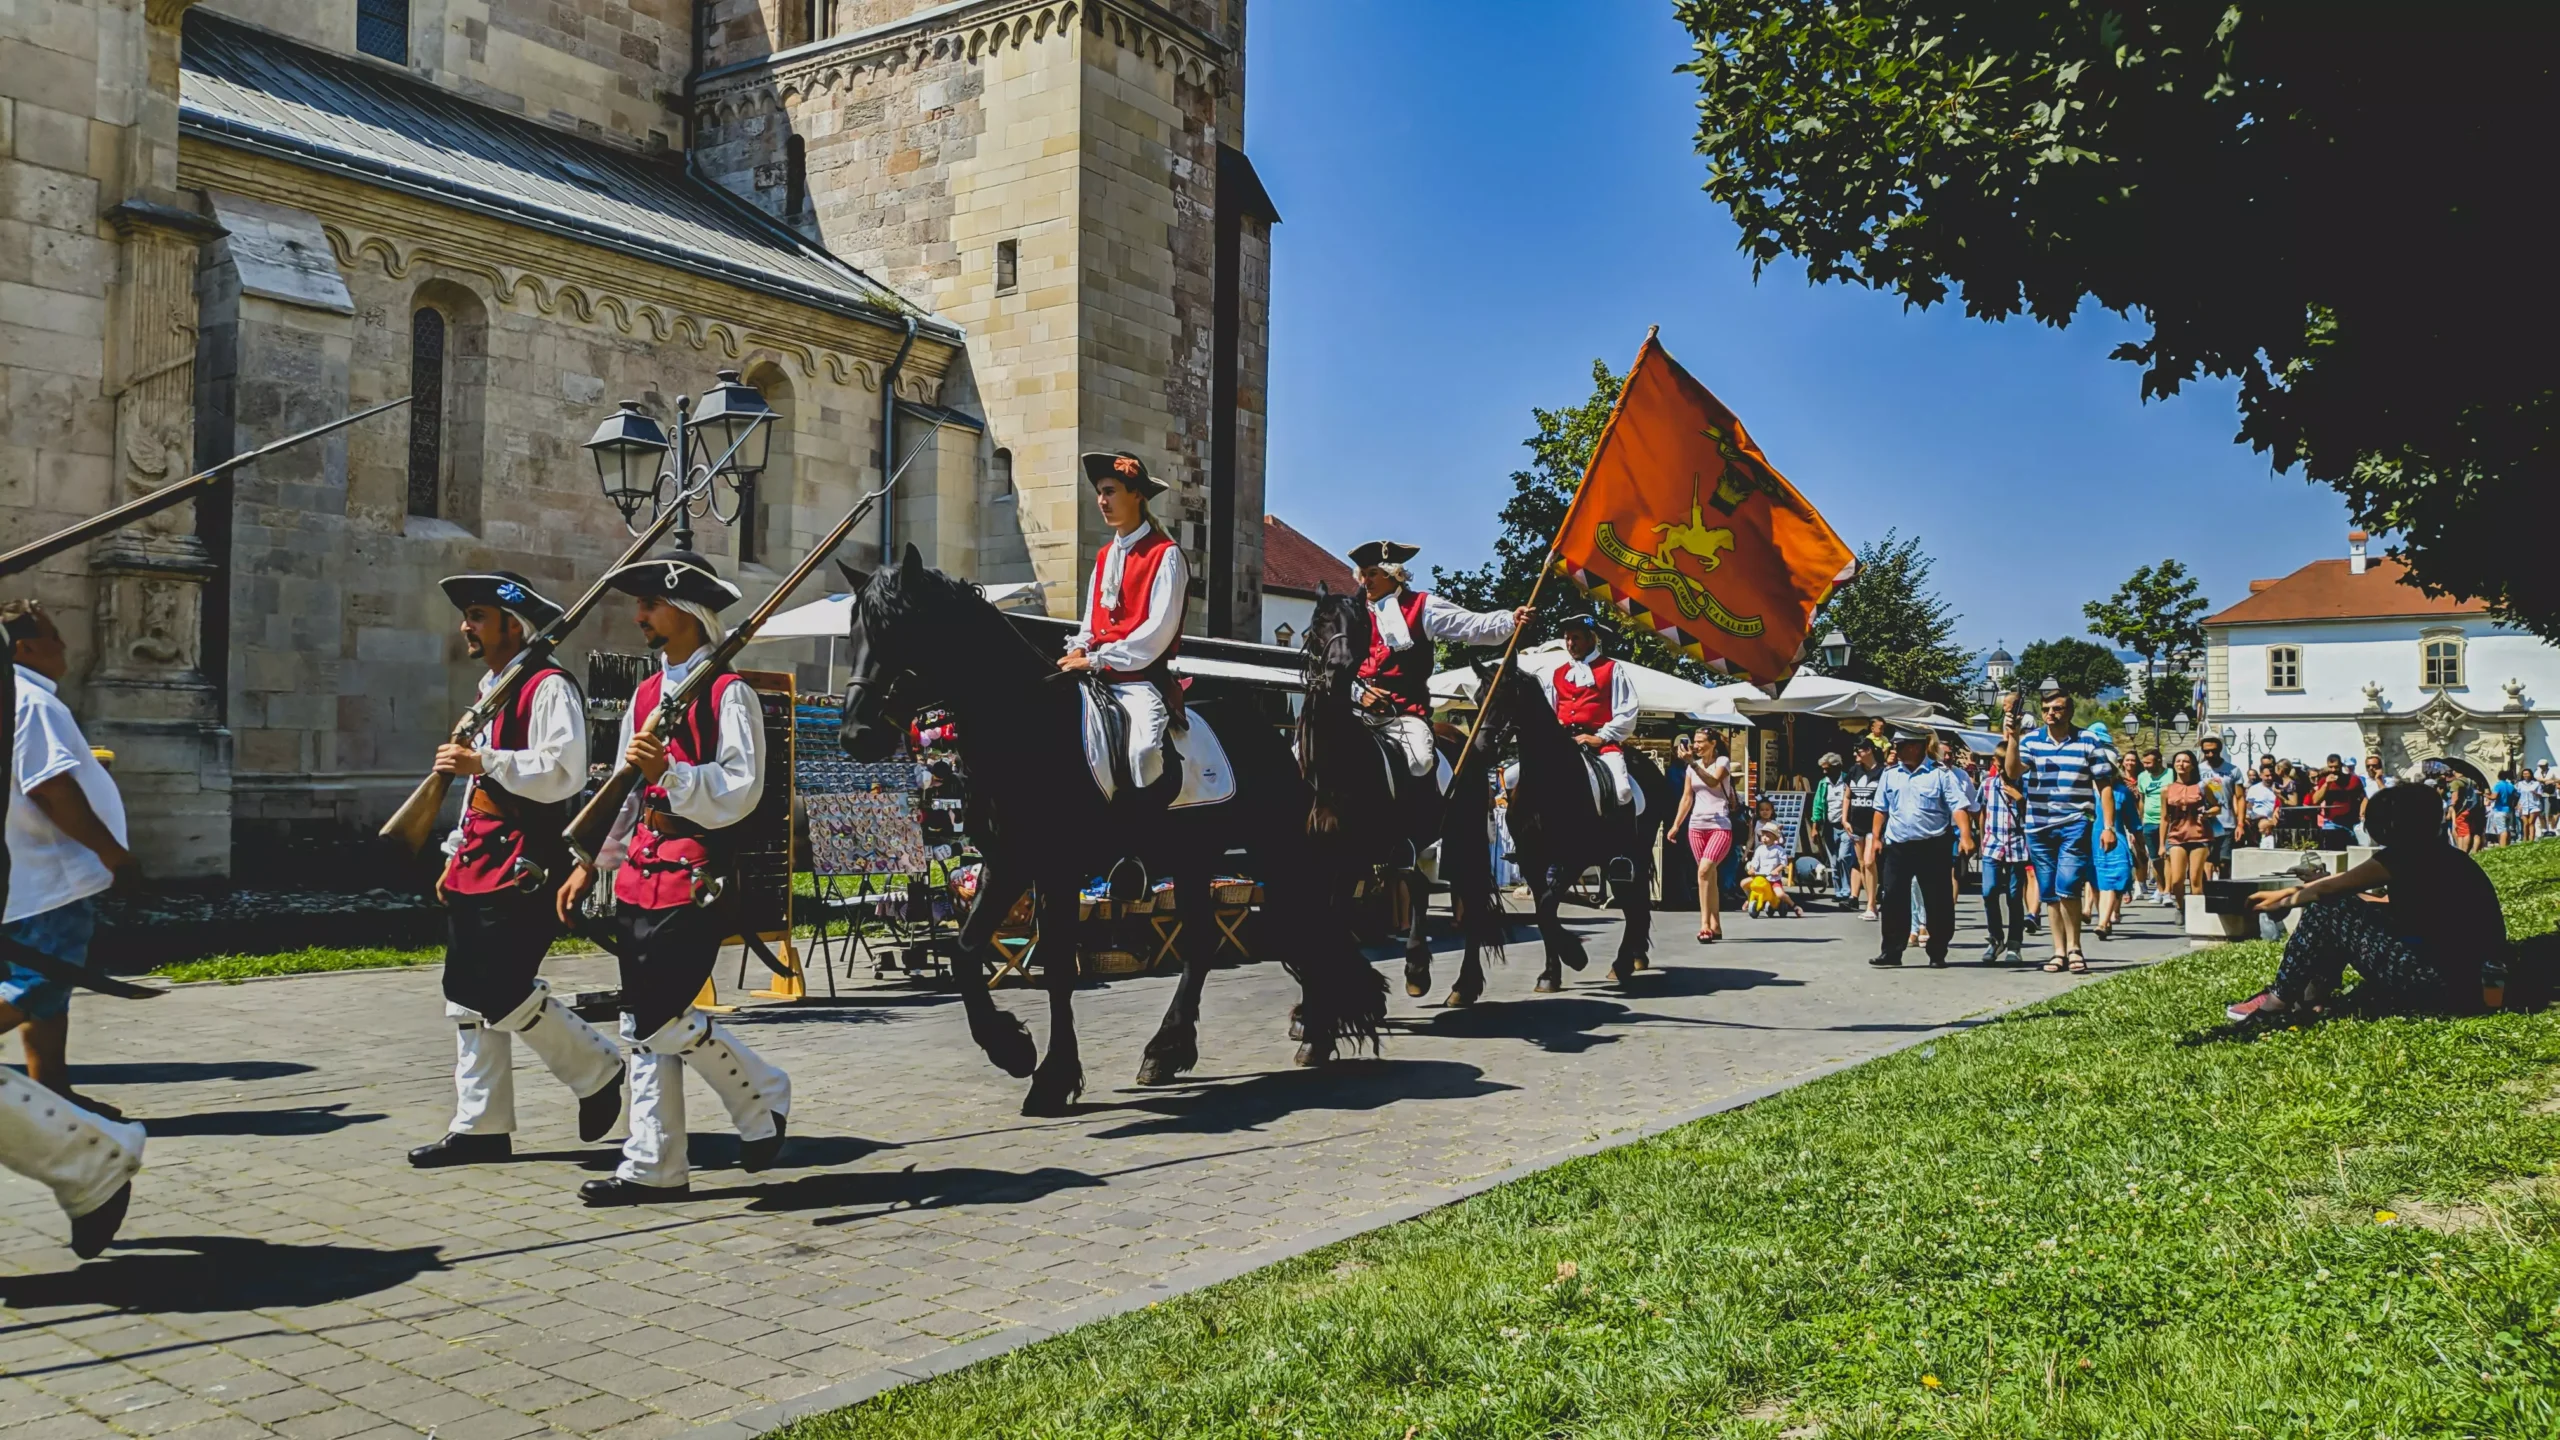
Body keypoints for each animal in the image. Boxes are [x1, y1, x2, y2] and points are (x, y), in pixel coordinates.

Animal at [834, 543, 1382, 1117]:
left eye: (899, 628)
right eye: (853, 633)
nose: (856, 735)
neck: (1027, 727)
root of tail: (1273, 738)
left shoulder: (1055, 868)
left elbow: (1058, 964)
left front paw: (1051, 1076)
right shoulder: (1007, 863)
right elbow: (964, 952)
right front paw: (1012, 1049)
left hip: (1274, 852)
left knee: (1306, 925)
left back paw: (1314, 1033)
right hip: (1194, 858)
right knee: (1210, 940)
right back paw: (1169, 1050)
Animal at [1300, 584, 1495, 999]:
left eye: (1361, 624)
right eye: (1320, 621)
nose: (1338, 669)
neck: (1339, 766)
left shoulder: (1352, 860)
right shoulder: (1323, 859)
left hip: (1464, 841)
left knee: (1469, 901)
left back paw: (1463, 985)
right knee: (1419, 888)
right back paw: (1417, 970)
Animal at [1464, 661, 1679, 999]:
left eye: (1504, 697)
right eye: (1478, 698)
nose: (1480, 749)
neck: (1548, 782)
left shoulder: (1575, 859)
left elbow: (1547, 906)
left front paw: (1574, 955)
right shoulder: (1533, 860)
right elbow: (1544, 912)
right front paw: (1551, 973)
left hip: (1635, 854)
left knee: (1636, 903)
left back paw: (1624, 962)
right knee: (1631, 902)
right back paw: (1631, 958)